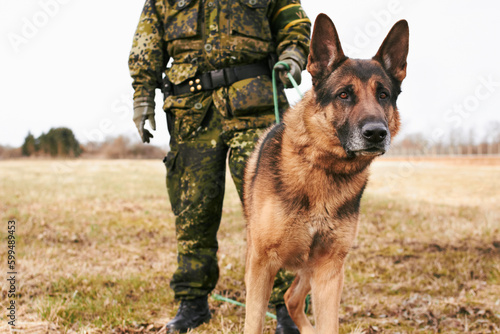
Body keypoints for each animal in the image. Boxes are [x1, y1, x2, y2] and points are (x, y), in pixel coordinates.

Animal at [243, 13, 410, 334]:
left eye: (383, 95)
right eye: (344, 94)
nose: (376, 133)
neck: (323, 169)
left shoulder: (330, 268)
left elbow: (328, 323)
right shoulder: (261, 264)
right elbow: (253, 321)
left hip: (312, 270)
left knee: (291, 298)